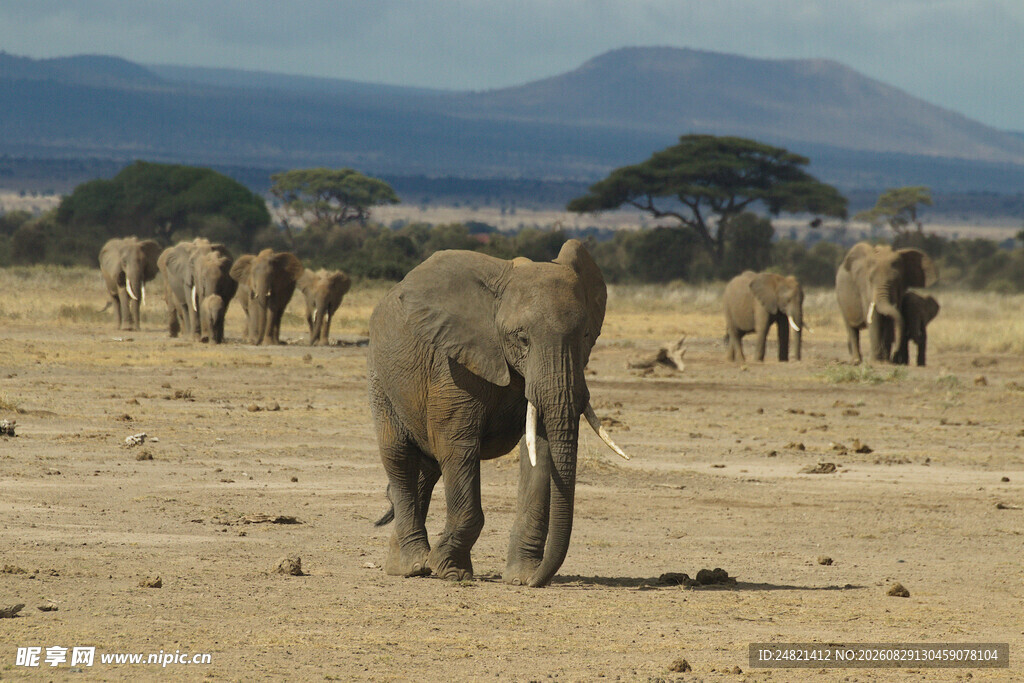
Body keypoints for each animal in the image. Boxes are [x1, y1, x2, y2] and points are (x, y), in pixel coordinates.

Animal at [368, 239, 629, 588]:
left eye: (586, 336)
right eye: (522, 338)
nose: (537, 581)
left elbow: (540, 450)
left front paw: (522, 577)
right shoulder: (453, 367)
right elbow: (457, 446)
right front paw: (452, 571)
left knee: (427, 468)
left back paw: (404, 563)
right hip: (380, 376)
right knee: (399, 455)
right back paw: (413, 566)